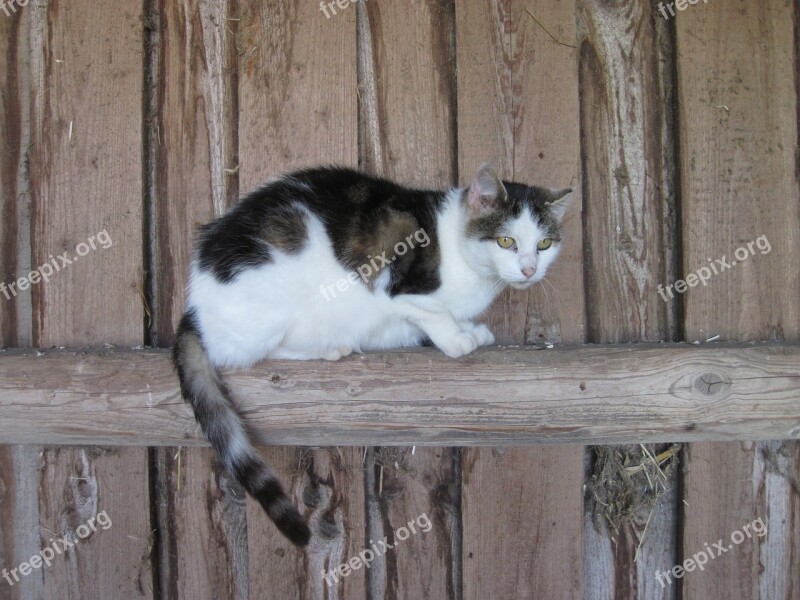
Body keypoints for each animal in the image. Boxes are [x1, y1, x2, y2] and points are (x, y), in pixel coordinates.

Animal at [173, 163, 572, 544]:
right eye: (506, 241)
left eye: (544, 244)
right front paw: (457, 339)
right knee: (243, 353)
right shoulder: (399, 292)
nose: (529, 270)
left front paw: (471, 330)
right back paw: (331, 347)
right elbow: (435, 313)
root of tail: (195, 305)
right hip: (271, 313)